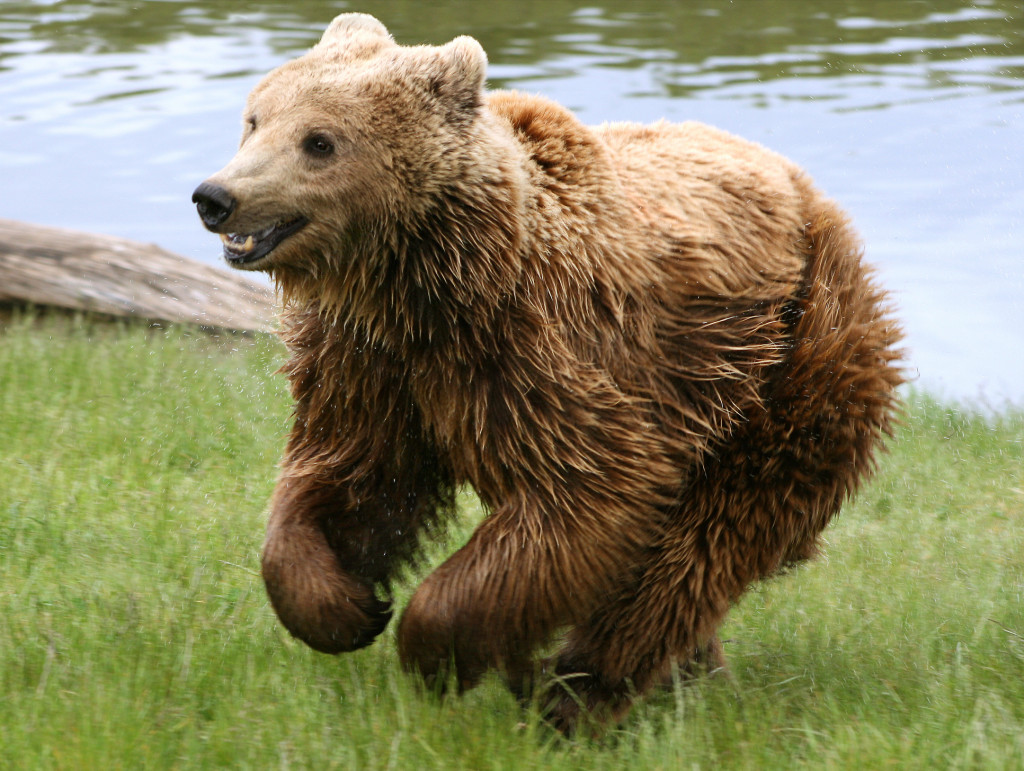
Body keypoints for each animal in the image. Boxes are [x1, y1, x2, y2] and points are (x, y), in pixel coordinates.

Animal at [192, 13, 905, 733]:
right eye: (255, 119)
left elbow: (586, 496)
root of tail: (809, 192)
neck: (424, 283)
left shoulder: (542, 353)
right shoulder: (370, 365)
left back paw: (578, 692)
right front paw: (346, 606)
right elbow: (351, 476)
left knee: (706, 541)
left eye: (319, 141)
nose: (216, 196)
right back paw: (681, 676)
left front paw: (432, 651)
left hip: (786, 360)